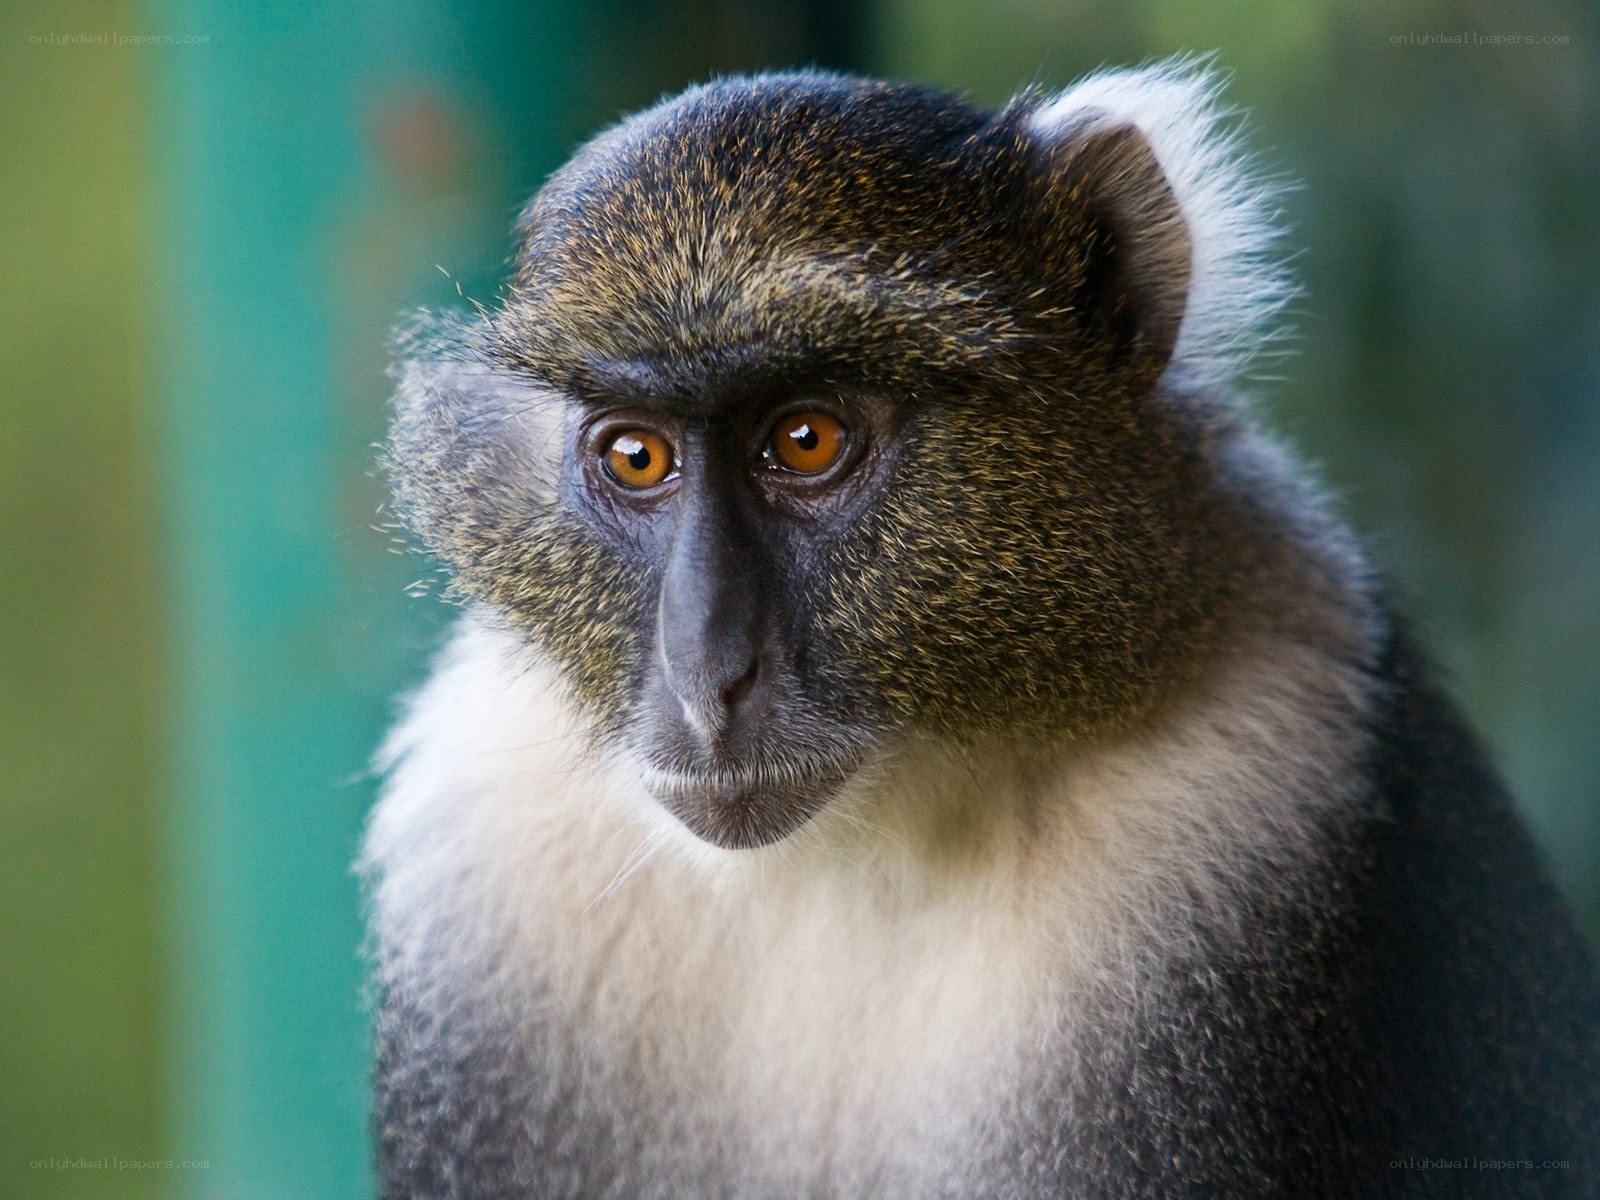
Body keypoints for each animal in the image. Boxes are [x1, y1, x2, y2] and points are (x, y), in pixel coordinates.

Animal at [364, 61, 1600, 1199]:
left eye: (806, 439)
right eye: (635, 455)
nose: (709, 674)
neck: (852, 855)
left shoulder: (1259, 807)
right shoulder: (478, 856)